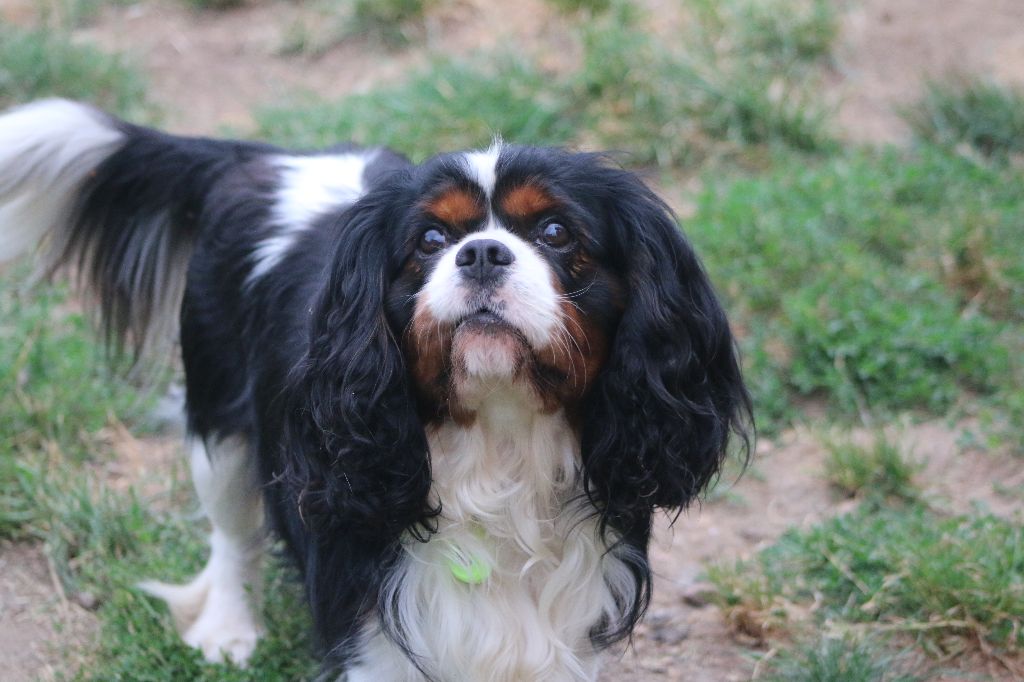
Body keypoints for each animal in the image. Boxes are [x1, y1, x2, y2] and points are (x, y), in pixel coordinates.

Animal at [0, 99, 750, 681]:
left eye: (557, 231)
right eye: (430, 240)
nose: (481, 252)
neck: (500, 442)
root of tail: (265, 161)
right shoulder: (376, 633)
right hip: (219, 425)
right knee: (231, 533)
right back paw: (227, 630)